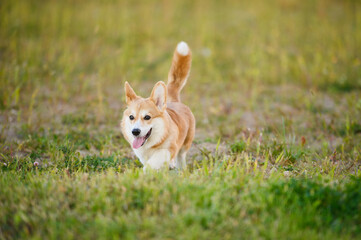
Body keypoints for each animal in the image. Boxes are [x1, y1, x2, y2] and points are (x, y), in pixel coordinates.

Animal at [120, 41, 194, 171]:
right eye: (131, 117)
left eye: (147, 117)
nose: (135, 132)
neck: (151, 144)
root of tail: (173, 100)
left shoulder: (169, 149)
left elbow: (156, 159)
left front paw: (145, 171)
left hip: (186, 143)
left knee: (181, 155)